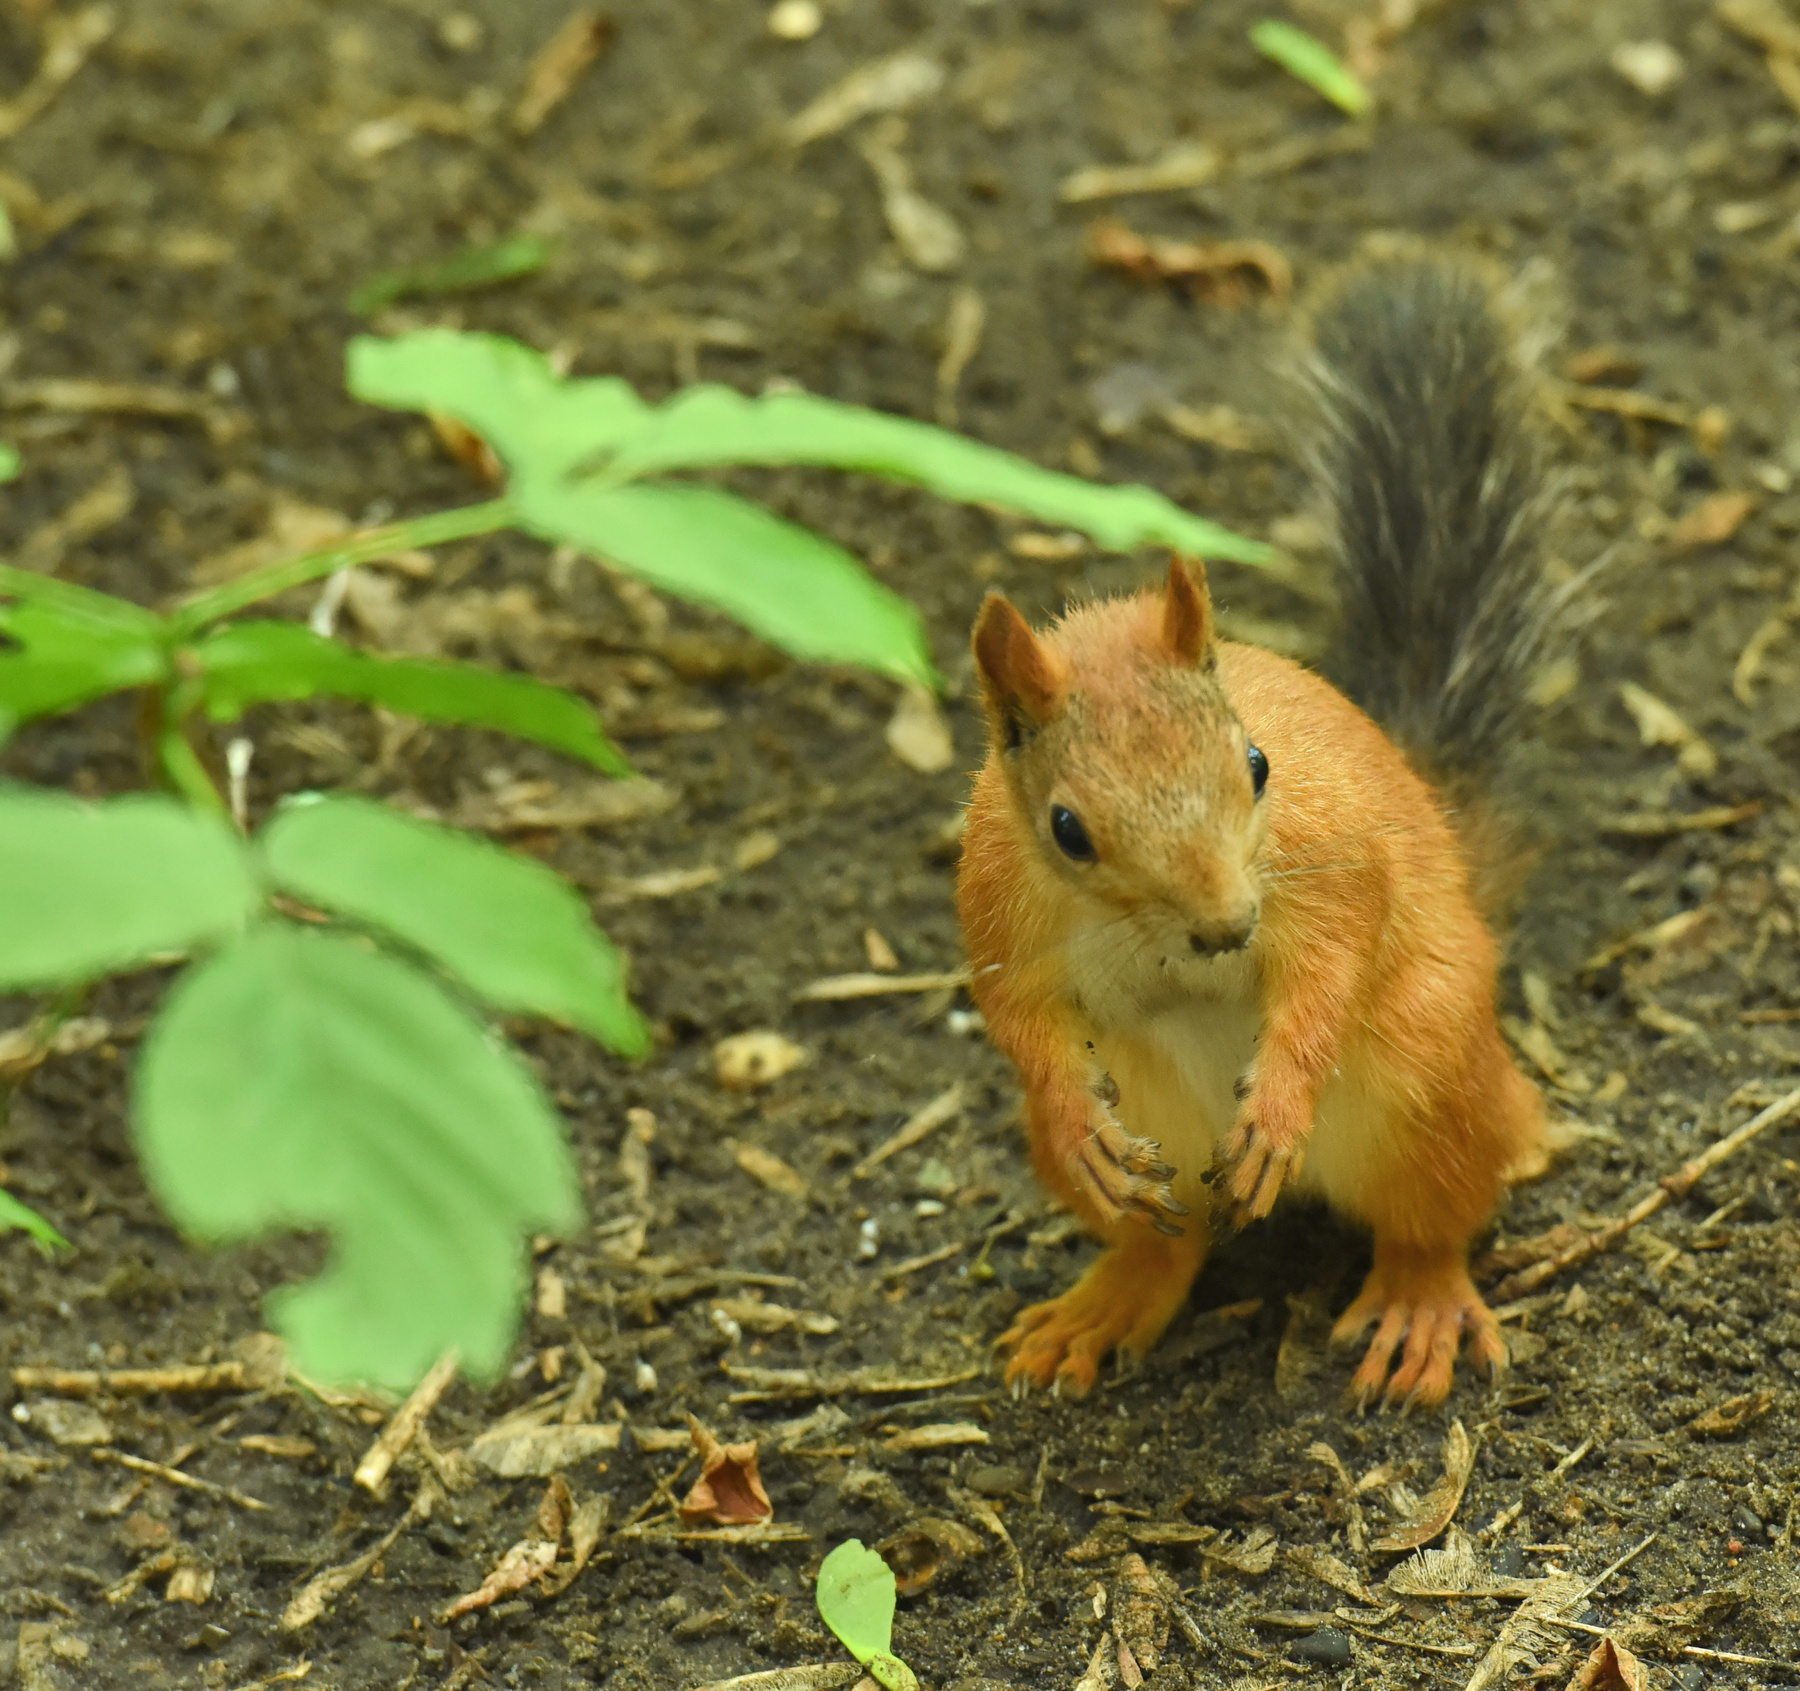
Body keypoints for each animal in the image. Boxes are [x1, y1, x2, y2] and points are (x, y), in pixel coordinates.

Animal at [956, 258, 1565, 1410]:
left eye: (1256, 765)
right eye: (1067, 829)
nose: (1227, 927)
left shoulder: (1332, 864)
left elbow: (1327, 971)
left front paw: (1280, 1099)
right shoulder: (997, 907)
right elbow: (1016, 1016)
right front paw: (1077, 1114)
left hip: (1430, 1078)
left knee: (1434, 1218)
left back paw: (1417, 1299)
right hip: (1138, 1149)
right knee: (1171, 1237)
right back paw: (1110, 1297)